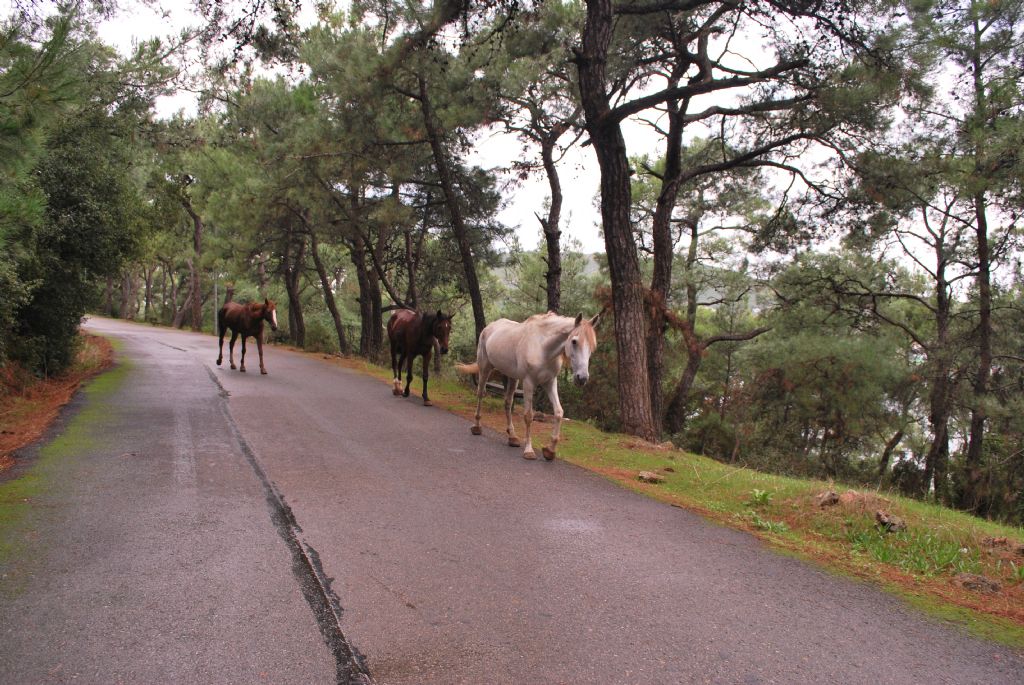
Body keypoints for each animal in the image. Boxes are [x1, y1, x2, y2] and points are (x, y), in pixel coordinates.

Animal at [456, 311, 598, 458]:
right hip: (485, 368)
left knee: (508, 402)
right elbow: (529, 416)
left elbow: (559, 412)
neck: (543, 347)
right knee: (480, 394)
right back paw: (477, 427)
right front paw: (529, 450)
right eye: (574, 341)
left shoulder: (550, 382)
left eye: (593, 346)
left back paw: (512, 437)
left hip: (512, 378)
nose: (582, 378)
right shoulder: (529, 383)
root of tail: (489, 327)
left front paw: (550, 450)